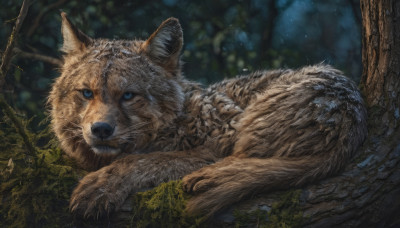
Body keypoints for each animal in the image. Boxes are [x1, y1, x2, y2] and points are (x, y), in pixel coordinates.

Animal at [48, 12, 368, 219]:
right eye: (86, 93)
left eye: (128, 95)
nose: (101, 129)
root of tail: (353, 117)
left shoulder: (223, 138)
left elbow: (144, 160)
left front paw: (102, 187)